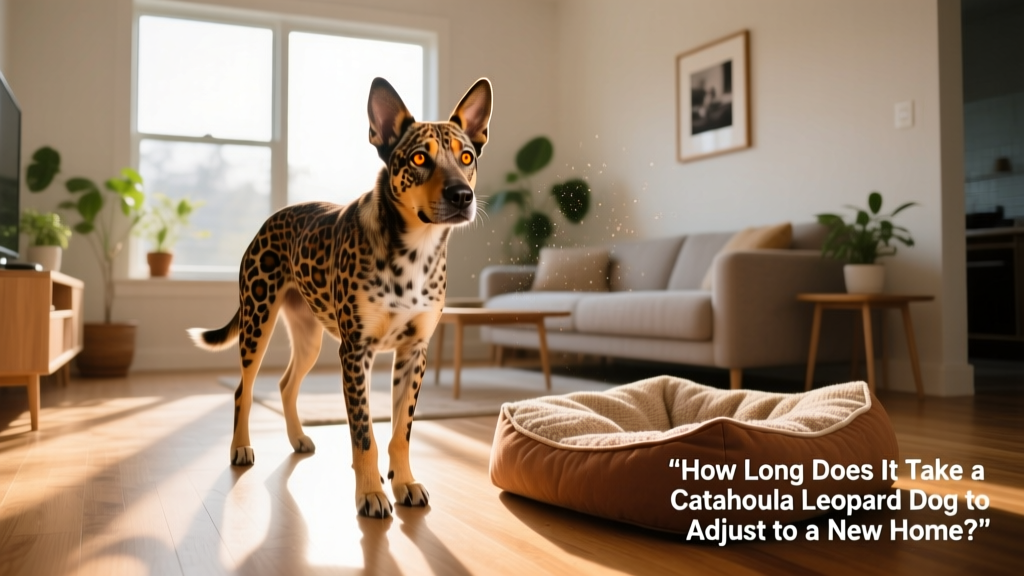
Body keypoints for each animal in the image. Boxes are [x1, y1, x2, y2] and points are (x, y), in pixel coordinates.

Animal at [188, 77, 492, 518]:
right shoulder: (355, 351)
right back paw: (241, 447)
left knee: (286, 384)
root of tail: (272, 218)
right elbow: (364, 433)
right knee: (243, 389)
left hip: (310, 338)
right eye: (419, 158)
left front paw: (404, 482)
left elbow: (400, 431)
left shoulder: (414, 352)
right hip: (257, 321)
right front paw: (370, 493)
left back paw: (298, 438)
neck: (415, 253)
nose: (462, 195)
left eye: (466, 156)